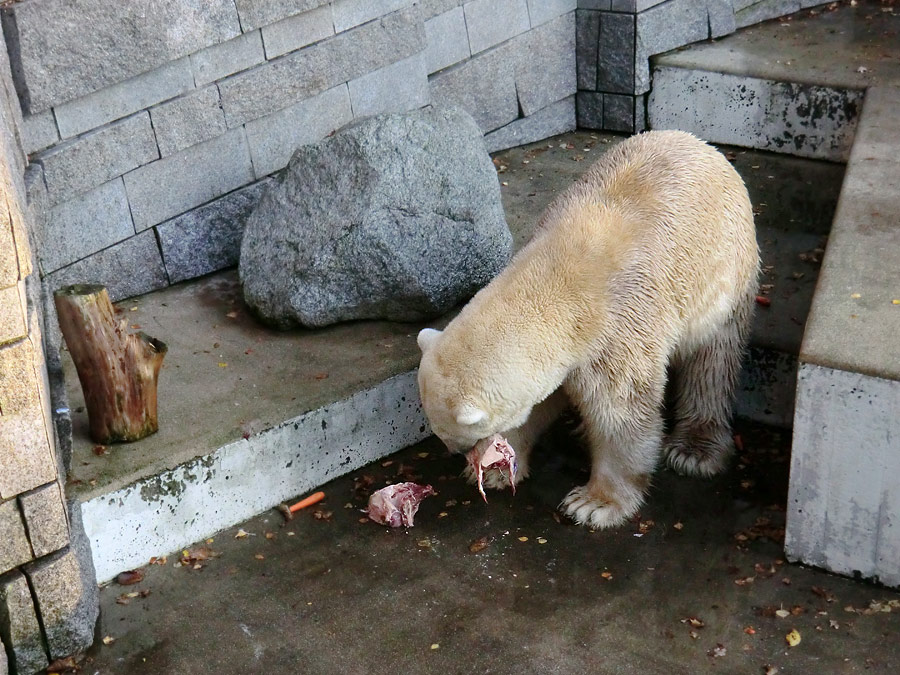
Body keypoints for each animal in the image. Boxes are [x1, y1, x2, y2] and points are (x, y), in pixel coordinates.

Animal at [416, 131, 760, 528]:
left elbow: (621, 414)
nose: (455, 451)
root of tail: (705, 147)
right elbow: (539, 402)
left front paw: (594, 503)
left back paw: (694, 450)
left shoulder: (618, 332)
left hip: (723, 273)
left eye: (460, 435)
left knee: (713, 360)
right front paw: (497, 470)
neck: (555, 278)